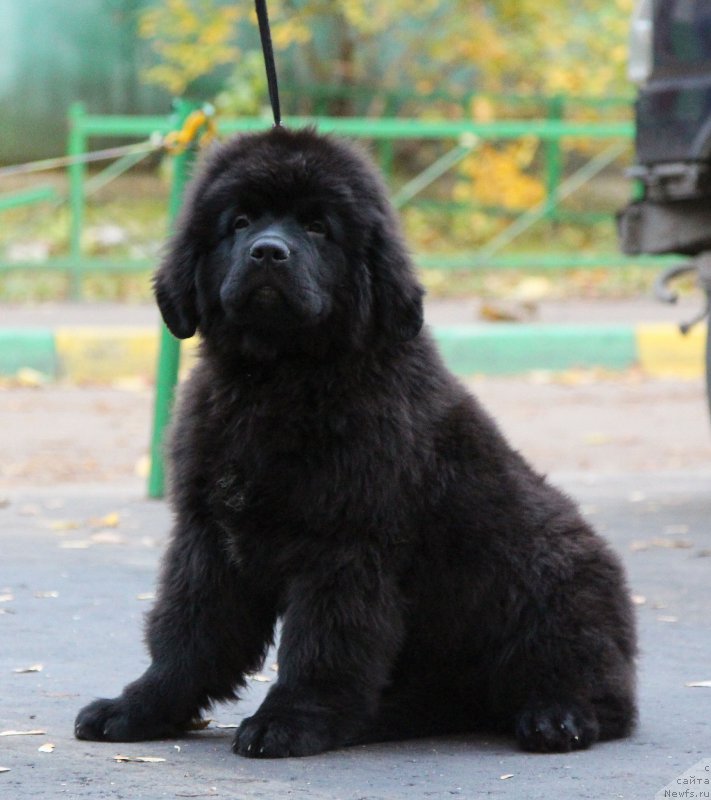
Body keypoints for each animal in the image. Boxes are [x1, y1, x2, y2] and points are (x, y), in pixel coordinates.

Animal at [75, 125, 636, 756]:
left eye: (319, 226)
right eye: (239, 221)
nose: (268, 252)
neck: (279, 380)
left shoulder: (345, 544)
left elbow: (322, 644)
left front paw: (288, 721)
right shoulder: (209, 538)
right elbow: (188, 632)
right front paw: (138, 708)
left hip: (548, 575)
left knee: (600, 691)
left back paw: (556, 716)